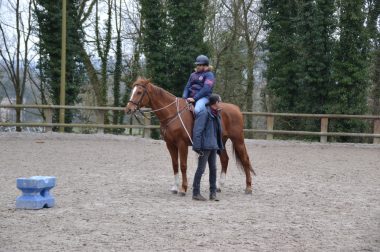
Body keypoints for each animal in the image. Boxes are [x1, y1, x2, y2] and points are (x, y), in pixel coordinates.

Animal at [125, 78, 255, 194]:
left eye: (139, 92)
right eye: (132, 91)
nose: (128, 109)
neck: (173, 113)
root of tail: (236, 109)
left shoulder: (182, 144)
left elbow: (183, 165)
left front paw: (183, 188)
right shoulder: (170, 145)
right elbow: (175, 165)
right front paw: (175, 187)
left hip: (238, 140)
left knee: (245, 160)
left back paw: (248, 187)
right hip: (220, 142)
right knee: (225, 159)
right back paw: (219, 186)